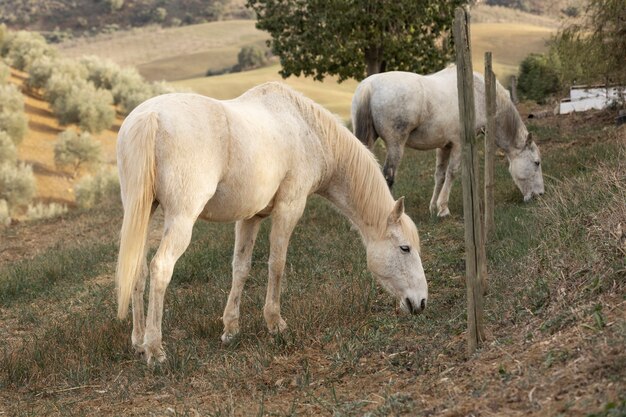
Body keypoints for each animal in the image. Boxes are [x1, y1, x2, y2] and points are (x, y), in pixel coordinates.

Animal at [114, 81, 426, 364]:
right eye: (405, 248)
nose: (420, 303)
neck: (307, 129)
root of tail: (150, 117)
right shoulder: (290, 207)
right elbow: (277, 263)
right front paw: (275, 324)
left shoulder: (251, 217)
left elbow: (241, 268)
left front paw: (231, 329)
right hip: (180, 220)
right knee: (160, 268)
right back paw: (155, 350)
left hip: (143, 213)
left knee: (139, 270)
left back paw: (138, 342)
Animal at [352, 66, 540, 216]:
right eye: (537, 163)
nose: (539, 195)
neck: (478, 94)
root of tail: (369, 86)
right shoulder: (458, 144)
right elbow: (452, 173)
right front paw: (443, 208)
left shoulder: (444, 146)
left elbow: (440, 175)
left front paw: (433, 207)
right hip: (395, 145)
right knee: (388, 176)